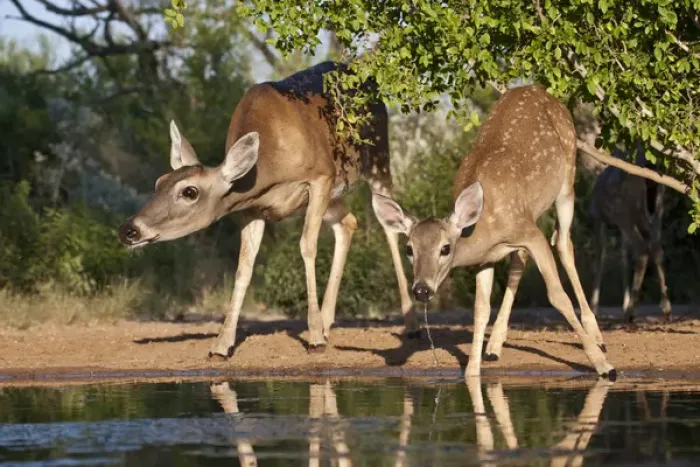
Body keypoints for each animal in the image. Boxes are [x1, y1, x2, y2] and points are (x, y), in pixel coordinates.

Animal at [117, 61, 420, 360]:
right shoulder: (252, 209)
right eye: (159, 182)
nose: (128, 229)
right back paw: (327, 322)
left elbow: (307, 246)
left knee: (389, 227)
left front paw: (313, 339)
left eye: (189, 192)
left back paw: (409, 325)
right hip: (336, 197)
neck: (271, 164)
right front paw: (220, 345)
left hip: (378, 160)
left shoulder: (320, 177)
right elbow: (244, 267)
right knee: (348, 223)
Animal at [372, 85, 616, 380]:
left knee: (563, 243)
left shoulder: (529, 232)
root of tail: (538, 89)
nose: (421, 290)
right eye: (409, 249)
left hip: (567, 178)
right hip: (534, 210)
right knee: (521, 259)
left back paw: (598, 337)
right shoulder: (487, 257)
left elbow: (557, 295)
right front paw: (471, 372)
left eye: (445, 248)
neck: (486, 225)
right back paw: (495, 345)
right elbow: (480, 309)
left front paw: (604, 366)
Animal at [589, 142, 671, 323]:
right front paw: (624, 303)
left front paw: (593, 307)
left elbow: (600, 259)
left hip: (626, 213)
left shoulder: (599, 218)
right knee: (657, 248)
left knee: (642, 249)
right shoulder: (618, 227)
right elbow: (624, 259)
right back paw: (665, 309)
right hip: (656, 212)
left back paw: (631, 312)